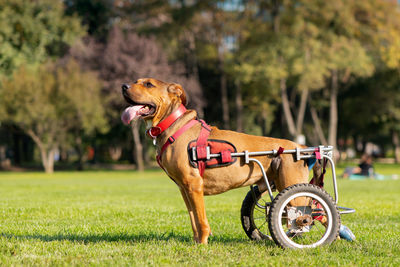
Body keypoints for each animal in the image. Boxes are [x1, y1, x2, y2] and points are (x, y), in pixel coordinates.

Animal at [122, 78, 312, 245]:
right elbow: (193, 219)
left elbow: (201, 220)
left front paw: (202, 243)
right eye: (136, 81)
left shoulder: (194, 185)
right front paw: (196, 242)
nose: (124, 86)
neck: (174, 124)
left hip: (293, 190)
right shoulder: (185, 189)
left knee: (309, 215)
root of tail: (299, 145)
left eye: (149, 84)